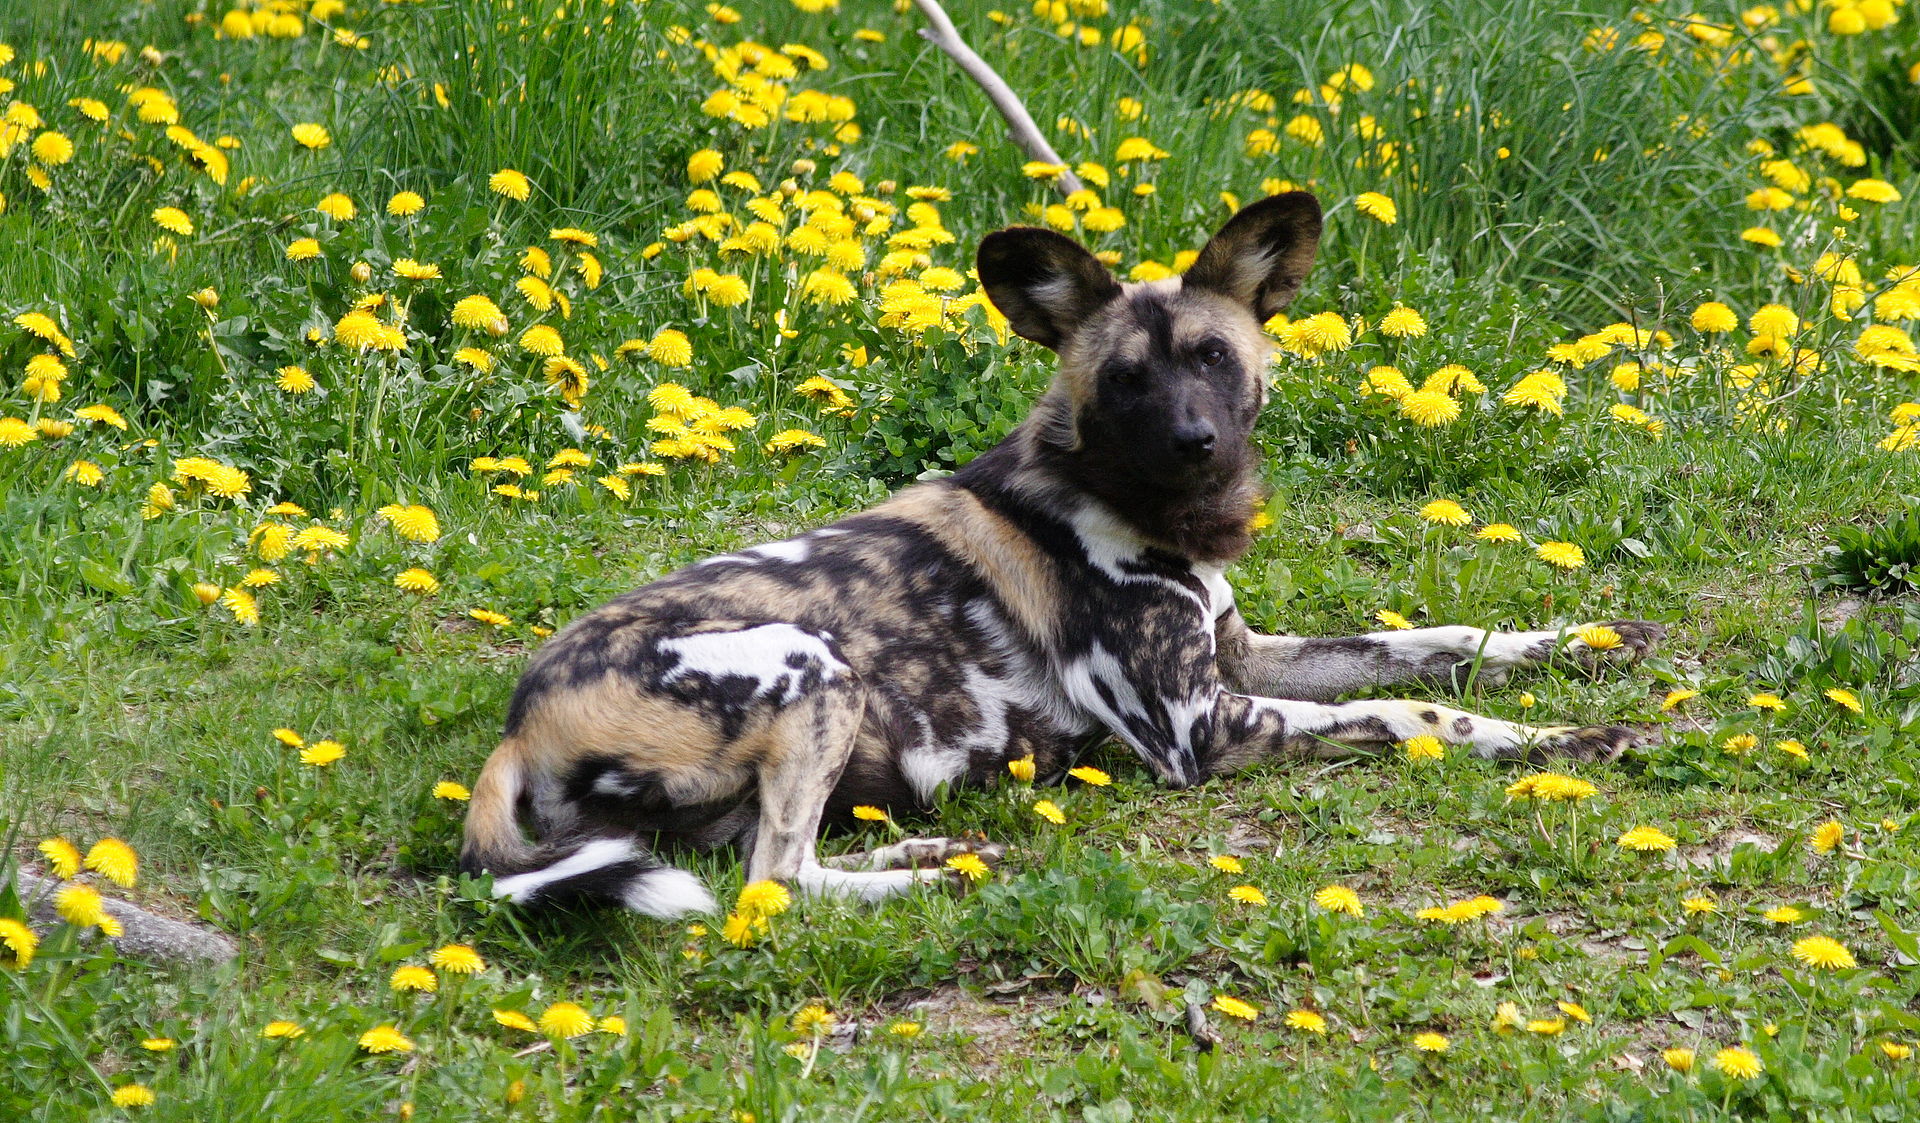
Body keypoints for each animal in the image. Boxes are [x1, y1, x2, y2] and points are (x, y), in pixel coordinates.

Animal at [460, 190, 1666, 909]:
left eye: (1215, 360)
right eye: (1125, 380)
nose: (1196, 444)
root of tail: (519, 724)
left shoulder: (1245, 656)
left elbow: (1436, 641)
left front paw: (1586, 643)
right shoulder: (1200, 729)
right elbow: (1415, 709)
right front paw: (1563, 740)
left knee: (777, 862)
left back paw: (922, 853)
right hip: (812, 665)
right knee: (776, 883)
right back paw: (943, 871)